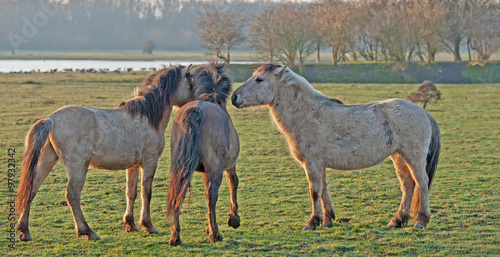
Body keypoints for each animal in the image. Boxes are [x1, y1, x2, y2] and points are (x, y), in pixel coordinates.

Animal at [14, 64, 194, 240]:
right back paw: (87, 231)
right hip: (78, 167)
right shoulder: (149, 163)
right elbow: (146, 193)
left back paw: (24, 231)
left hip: (47, 160)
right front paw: (148, 226)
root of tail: (51, 119)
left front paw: (130, 224)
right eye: (190, 83)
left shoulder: (133, 166)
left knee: (32, 189)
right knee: (72, 195)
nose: (194, 104)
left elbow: (131, 193)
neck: (147, 118)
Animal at [166, 61, 240, 245]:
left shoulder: (204, 171)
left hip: (180, 168)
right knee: (212, 194)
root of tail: (197, 110)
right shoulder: (228, 165)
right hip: (216, 168)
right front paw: (233, 218)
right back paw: (215, 234)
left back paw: (175, 236)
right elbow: (233, 183)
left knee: (178, 192)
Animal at [230, 63, 438, 229]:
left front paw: (312, 222)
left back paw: (421, 221)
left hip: (413, 157)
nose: (234, 97)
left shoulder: (312, 163)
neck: (307, 113)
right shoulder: (319, 165)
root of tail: (423, 112)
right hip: (399, 157)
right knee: (408, 185)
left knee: (422, 184)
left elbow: (314, 191)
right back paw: (397, 220)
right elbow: (323, 190)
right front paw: (327, 220)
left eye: (259, 79)